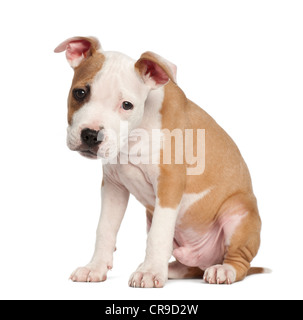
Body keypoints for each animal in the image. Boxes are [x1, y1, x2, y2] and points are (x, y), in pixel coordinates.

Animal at [55, 36, 264, 286]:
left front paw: (151, 272)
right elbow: (105, 229)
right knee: (190, 266)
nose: (90, 135)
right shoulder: (113, 187)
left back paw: (222, 271)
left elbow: (159, 234)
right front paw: (94, 268)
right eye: (80, 93)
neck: (135, 135)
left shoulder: (170, 183)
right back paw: (170, 268)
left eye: (127, 105)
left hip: (238, 214)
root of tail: (207, 261)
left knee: (239, 262)